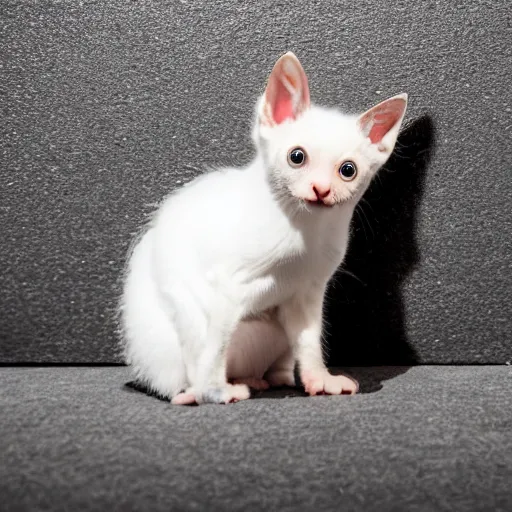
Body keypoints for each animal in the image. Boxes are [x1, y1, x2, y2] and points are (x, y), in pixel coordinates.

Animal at [121, 52, 408, 404]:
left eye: (348, 170)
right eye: (296, 157)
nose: (321, 190)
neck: (304, 231)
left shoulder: (307, 294)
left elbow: (309, 342)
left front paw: (320, 380)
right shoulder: (226, 288)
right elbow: (213, 350)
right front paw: (215, 391)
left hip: (271, 332)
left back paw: (259, 379)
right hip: (181, 315)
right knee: (191, 357)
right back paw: (196, 391)